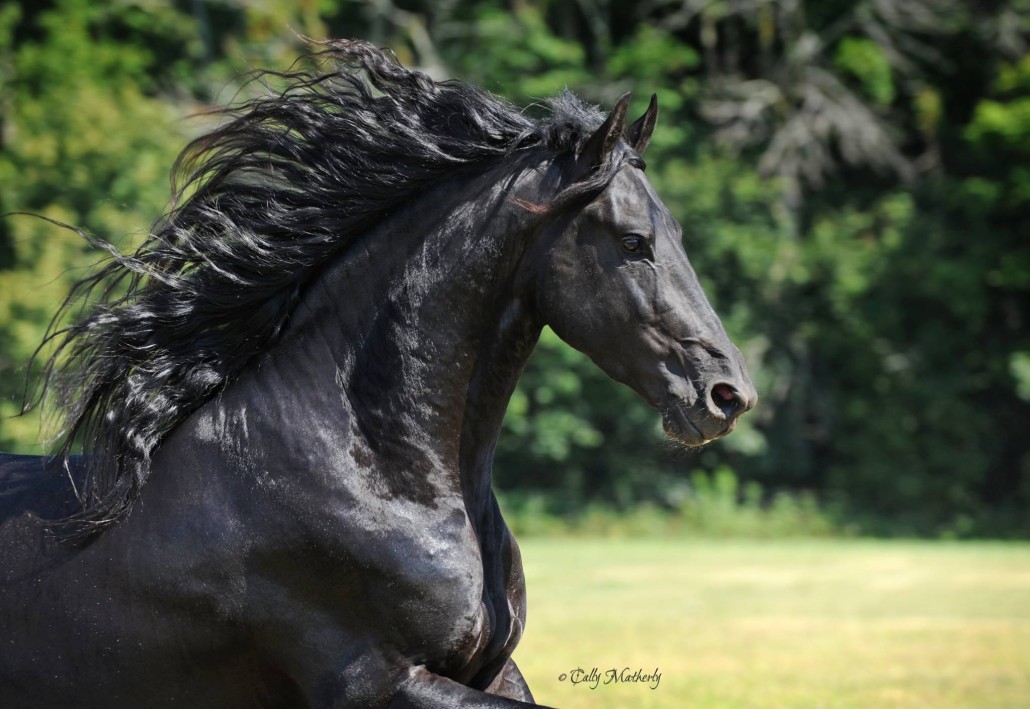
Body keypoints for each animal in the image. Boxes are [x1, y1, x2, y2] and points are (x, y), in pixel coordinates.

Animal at [0, 40, 758, 709]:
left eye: (677, 235)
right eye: (634, 243)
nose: (727, 395)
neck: (369, 470)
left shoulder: (493, 668)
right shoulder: (382, 680)